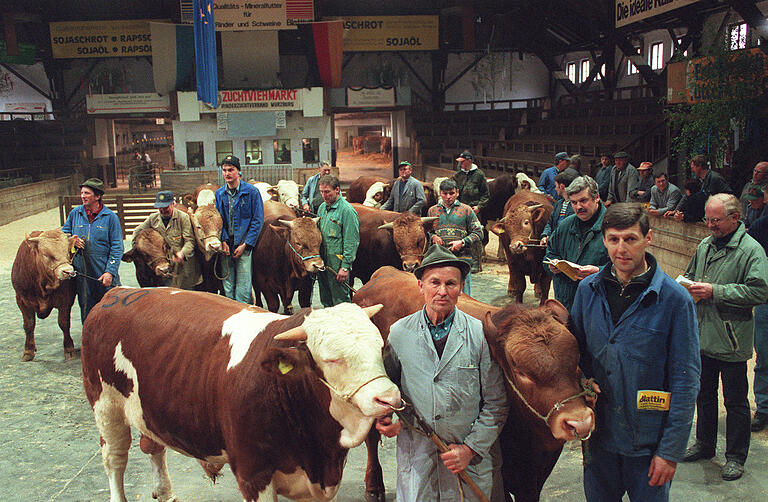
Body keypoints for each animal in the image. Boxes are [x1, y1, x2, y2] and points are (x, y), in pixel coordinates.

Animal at [11, 229, 76, 362]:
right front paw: (28, 351)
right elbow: (29, 325)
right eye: (46, 255)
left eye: (67, 252)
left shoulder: (66, 300)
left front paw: (69, 349)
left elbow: (64, 323)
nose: (68, 271)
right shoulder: (21, 300)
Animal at [81, 290, 400, 502]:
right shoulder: (253, 474)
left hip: (148, 408)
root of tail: (116, 293)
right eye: (332, 359)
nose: (388, 397)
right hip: (105, 407)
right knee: (115, 459)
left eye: (380, 346)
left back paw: (165, 492)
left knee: (153, 445)